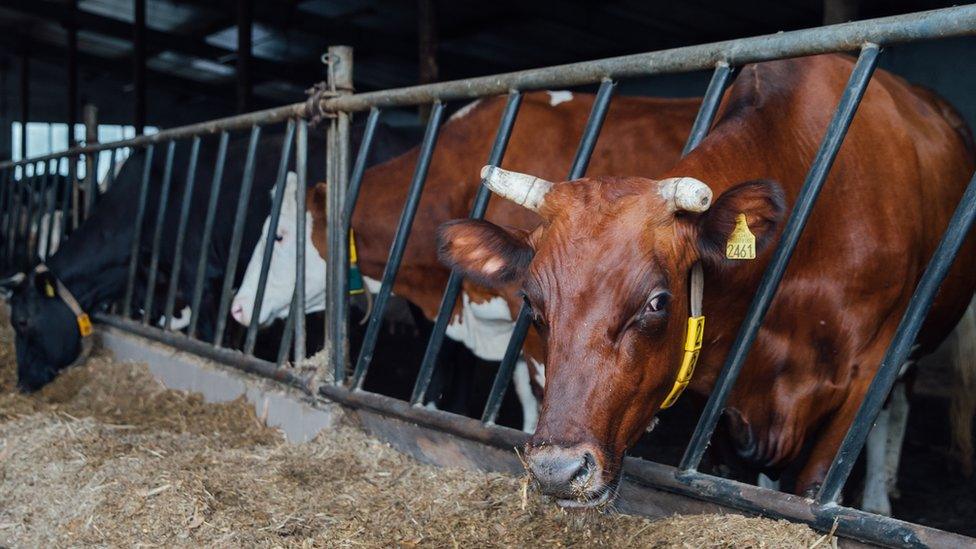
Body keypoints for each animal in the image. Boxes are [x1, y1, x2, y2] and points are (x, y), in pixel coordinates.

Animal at [438, 54, 976, 506]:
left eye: (657, 302)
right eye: (532, 303)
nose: (556, 470)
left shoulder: (869, 369)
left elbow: (817, 483)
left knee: (894, 414)